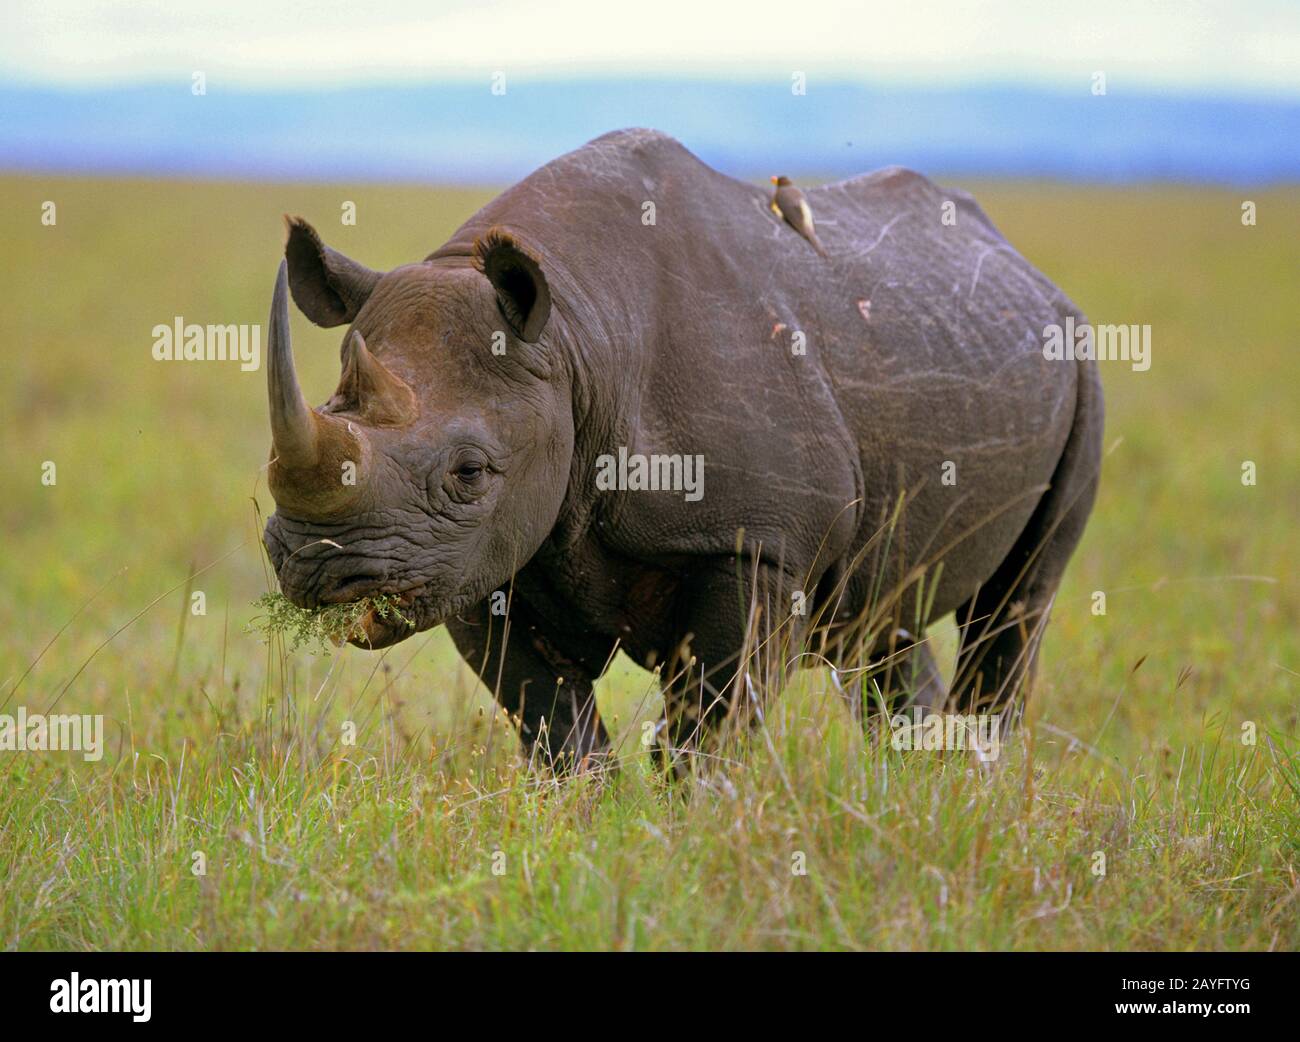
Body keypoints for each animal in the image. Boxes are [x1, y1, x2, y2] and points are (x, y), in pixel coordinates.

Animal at [262, 128, 1102, 769]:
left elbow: (708, 730)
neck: (574, 341)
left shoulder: (755, 543)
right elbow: (557, 732)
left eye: (470, 473)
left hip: (1079, 359)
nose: (314, 566)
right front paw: (591, 835)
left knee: (1016, 602)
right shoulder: (482, 556)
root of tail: (1028, 269)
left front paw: (685, 839)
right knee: (882, 616)